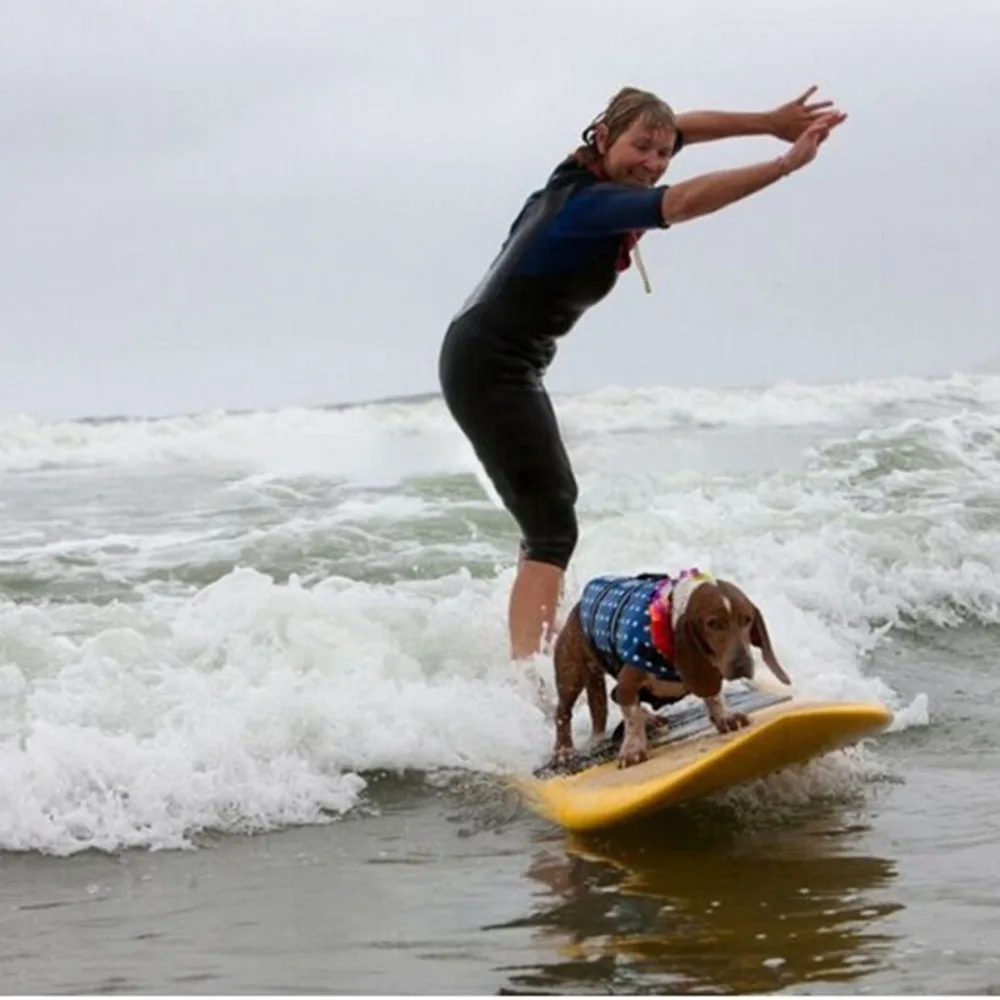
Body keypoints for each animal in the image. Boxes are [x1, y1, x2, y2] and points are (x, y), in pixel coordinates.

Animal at [552, 568, 792, 768]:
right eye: (713, 624)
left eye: (747, 619)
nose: (742, 664)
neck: (669, 620)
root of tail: (578, 606)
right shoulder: (628, 683)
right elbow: (632, 718)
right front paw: (633, 748)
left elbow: (714, 696)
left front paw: (724, 717)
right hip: (571, 674)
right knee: (563, 711)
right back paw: (563, 751)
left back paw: (650, 718)